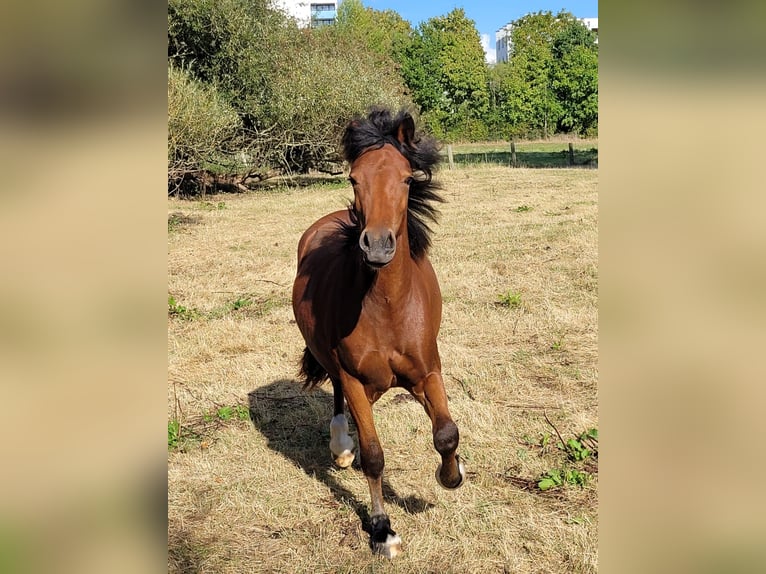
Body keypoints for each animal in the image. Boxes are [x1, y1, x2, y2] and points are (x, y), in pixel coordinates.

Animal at [291, 108, 466, 558]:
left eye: (406, 179)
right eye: (354, 179)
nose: (378, 246)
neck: (387, 306)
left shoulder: (428, 371)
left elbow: (445, 433)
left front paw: (452, 475)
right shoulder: (354, 377)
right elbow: (373, 455)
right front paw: (382, 530)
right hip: (336, 365)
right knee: (339, 396)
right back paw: (341, 446)